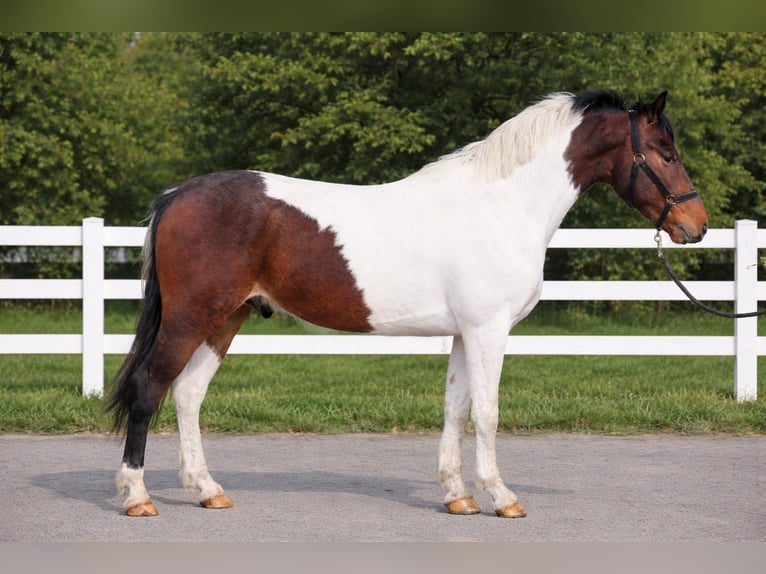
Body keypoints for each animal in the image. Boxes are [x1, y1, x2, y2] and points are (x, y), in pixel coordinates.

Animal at [107, 88, 708, 518]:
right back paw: (138, 497)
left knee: (187, 395)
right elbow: (487, 413)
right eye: (666, 153)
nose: (695, 226)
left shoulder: (465, 333)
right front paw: (502, 497)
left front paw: (458, 496)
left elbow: (455, 409)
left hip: (225, 318)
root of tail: (178, 195)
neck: (500, 206)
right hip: (191, 317)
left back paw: (207, 489)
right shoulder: (489, 330)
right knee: (150, 388)